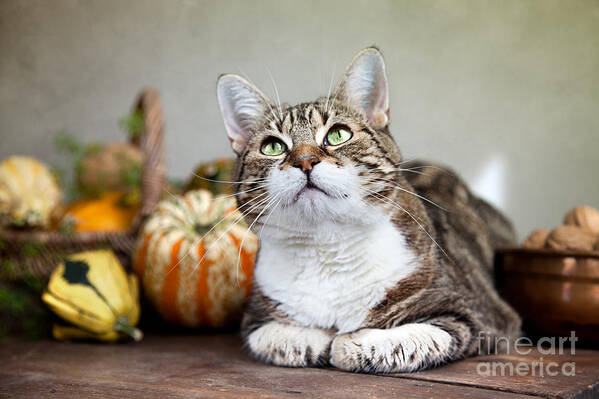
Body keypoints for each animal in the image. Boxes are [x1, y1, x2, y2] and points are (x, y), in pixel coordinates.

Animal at [216, 47, 520, 376]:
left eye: (338, 135)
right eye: (273, 147)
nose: (305, 160)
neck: (327, 248)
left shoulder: (480, 315)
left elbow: (412, 338)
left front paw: (350, 342)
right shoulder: (254, 319)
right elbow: (280, 337)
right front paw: (319, 338)